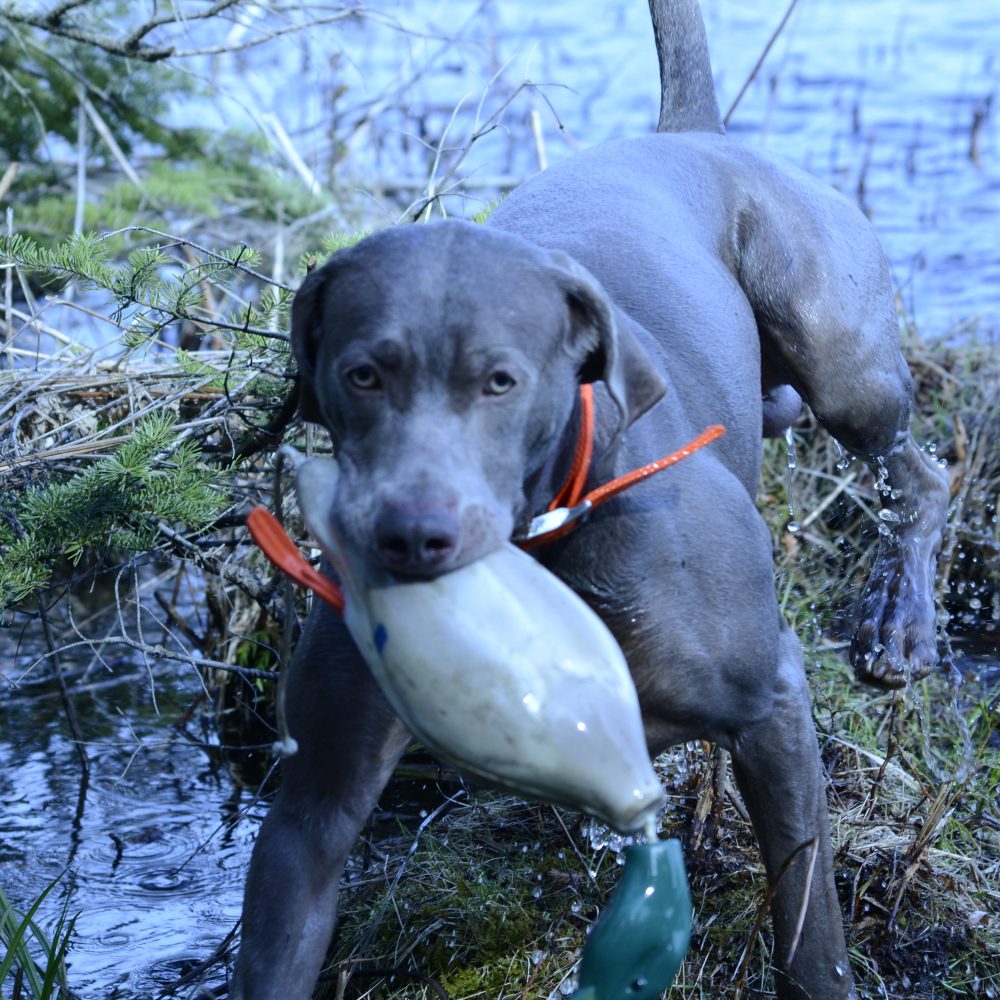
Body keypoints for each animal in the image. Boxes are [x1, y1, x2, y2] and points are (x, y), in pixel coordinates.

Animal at [230, 3, 948, 996]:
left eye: (501, 381)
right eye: (361, 374)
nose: (410, 538)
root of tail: (690, 138)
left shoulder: (771, 704)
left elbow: (811, 927)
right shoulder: (314, 802)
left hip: (840, 353)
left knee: (918, 475)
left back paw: (897, 624)